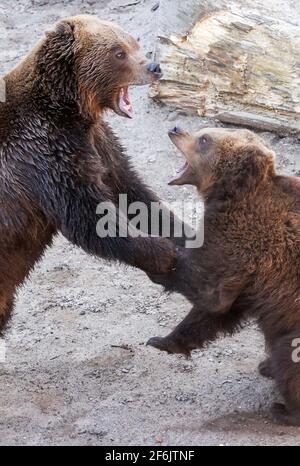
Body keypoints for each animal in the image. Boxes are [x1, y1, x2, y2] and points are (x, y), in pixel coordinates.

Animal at [0, 15, 183, 334]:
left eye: (133, 42)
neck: (69, 110)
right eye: (118, 52)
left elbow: (132, 191)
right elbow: (87, 216)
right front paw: (163, 253)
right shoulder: (45, 154)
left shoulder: (97, 142)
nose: (154, 66)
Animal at [148, 126, 300, 426]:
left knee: (288, 356)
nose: (175, 128)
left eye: (205, 139)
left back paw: (283, 408)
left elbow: (209, 293)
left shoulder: (240, 238)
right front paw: (163, 341)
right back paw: (267, 367)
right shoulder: (247, 278)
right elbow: (214, 311)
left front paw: (159, 264)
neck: (231, 192)